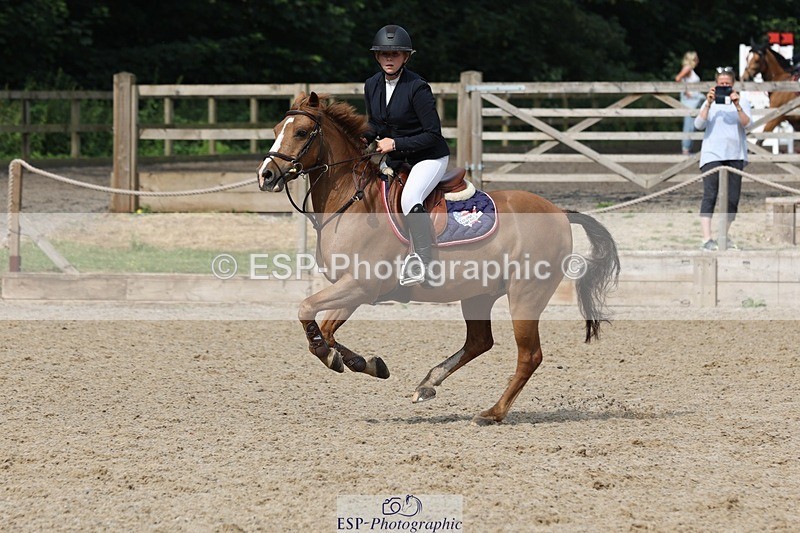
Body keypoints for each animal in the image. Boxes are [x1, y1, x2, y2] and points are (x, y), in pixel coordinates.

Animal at [257, 92, 620, 425]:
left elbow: (307, 311)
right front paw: (367, 364)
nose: (266, 176)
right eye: (276, 129)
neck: (351, 200)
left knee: (529, 355)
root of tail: (559, 211)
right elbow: (327, 329)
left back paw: (492, 413)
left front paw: (331, 356)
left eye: (302, 132)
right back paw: (427, 384)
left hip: (525, 296)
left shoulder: (361, 285)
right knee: (479, 342)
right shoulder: (356, 290)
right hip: (478, 294)